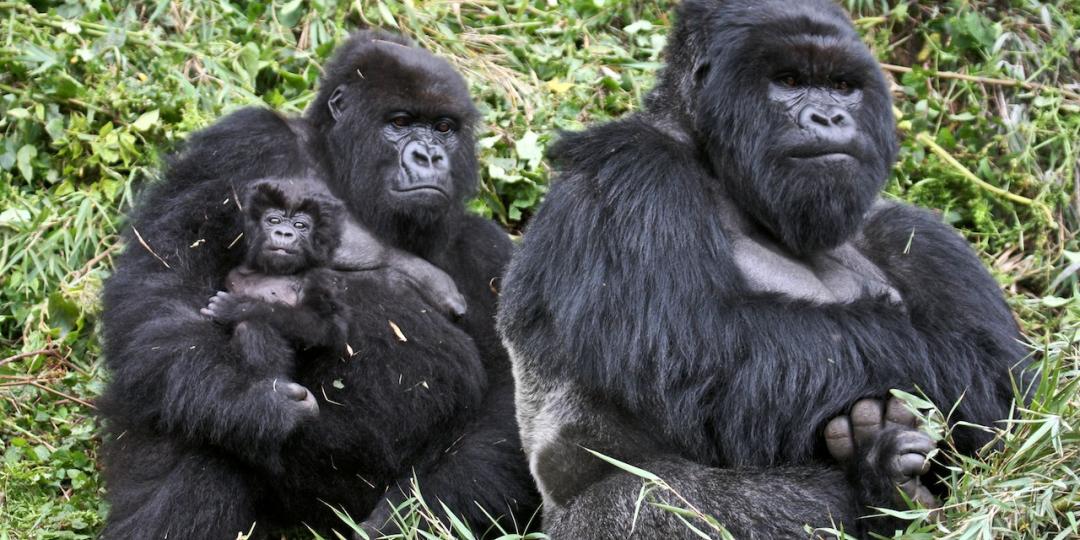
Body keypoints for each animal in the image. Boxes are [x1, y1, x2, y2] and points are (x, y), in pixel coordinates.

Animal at [204, 177, 466, 408]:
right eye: (274, 220)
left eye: (300, 226)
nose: (284, 233)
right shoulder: (235, 275)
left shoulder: (317, 277)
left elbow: (325, 326)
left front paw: (236, 307)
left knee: (252, 325)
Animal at [496, 2, 1028, 537]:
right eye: (789, 80)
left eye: (841, 86)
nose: (829, 116)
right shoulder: (628, 168)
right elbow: (697, 344)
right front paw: (935, 365)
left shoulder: (917, 235)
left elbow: (1017, 394)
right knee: (658, 503)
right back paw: (878, 485)